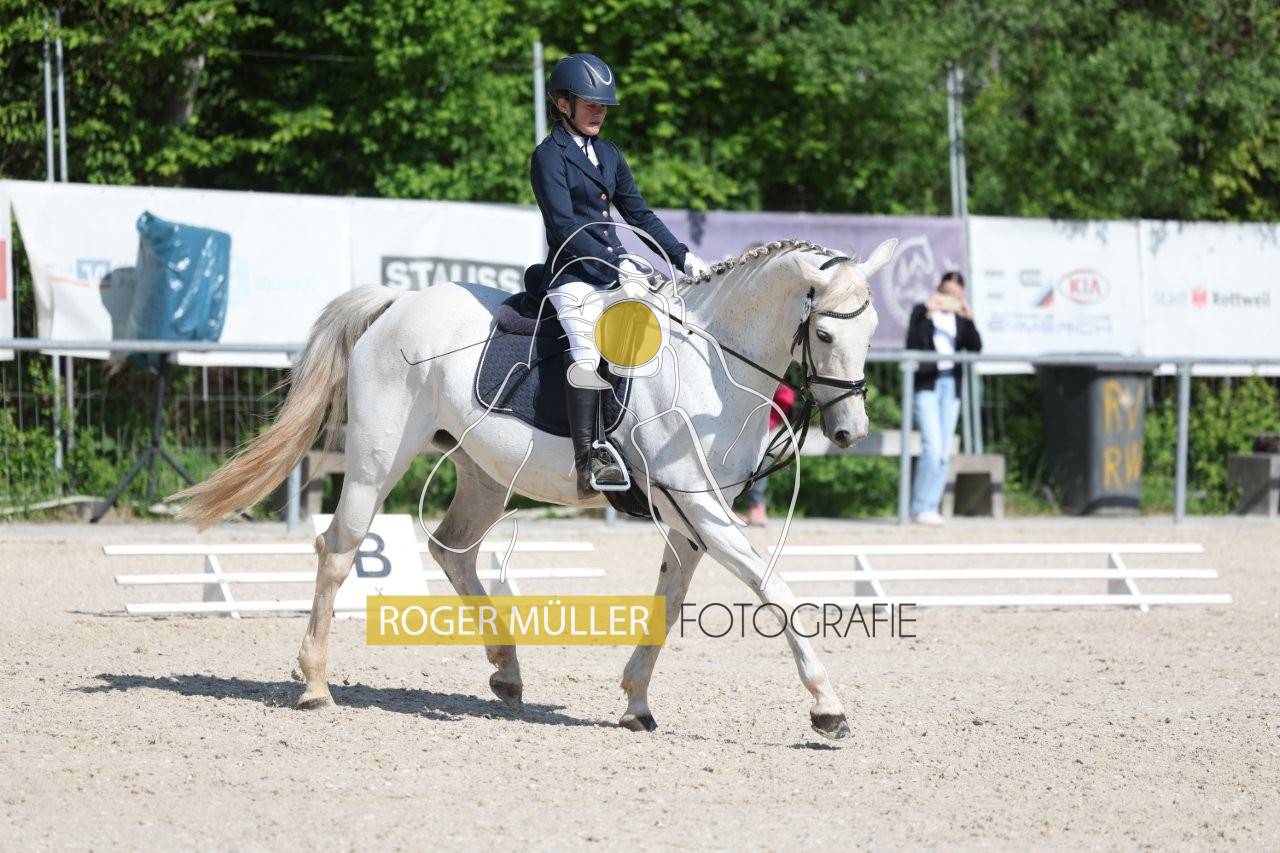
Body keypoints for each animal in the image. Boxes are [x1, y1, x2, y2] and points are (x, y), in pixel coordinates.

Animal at [175, 236, 896, 740]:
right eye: (824, 332)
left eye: (872, 330)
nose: (850, 431)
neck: (713, 364)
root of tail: (397, 302)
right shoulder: (699, 505)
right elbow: (774, 588)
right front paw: (827, 707)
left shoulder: (691, 515)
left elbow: (668, 601)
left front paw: (636, 703)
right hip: (379, 457)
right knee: (340, 549)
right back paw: (316, 685)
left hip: (483, 473)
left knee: (453, 549)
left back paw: (506, 670)